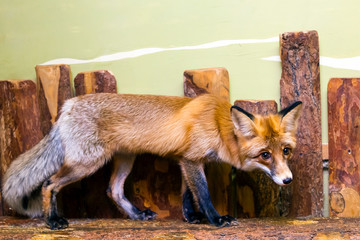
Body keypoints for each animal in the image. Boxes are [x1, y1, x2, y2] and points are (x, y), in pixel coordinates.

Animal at [1, 93, 302, 230]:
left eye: (285, 151)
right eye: (265, 155)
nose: (288, 180)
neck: (218, 124)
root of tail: (68, 105)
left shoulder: (185, 159)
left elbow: (186, 194)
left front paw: (191, 218)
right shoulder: (191, 160)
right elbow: (203, 194)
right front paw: (215, 219)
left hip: (125, 159)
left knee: (113, 190)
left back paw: (137, 215)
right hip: (86, 164)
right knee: (49, 184)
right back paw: (52, 220)